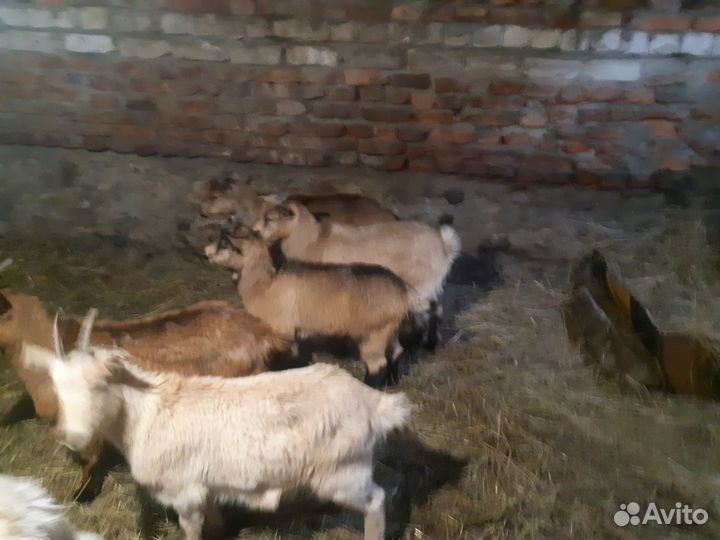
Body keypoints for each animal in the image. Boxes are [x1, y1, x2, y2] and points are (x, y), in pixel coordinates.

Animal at [25, 310, 412, 540]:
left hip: (342, 473)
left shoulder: (184, 492)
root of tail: (374, 403)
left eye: (99, 384)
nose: (73, 438)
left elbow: (192, 530)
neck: (146, 414)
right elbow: (215, 522)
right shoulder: (204, 490)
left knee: (376, 500)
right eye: (57, 387)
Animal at [205, 234, 412, 386]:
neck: (264, 282)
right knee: (396, 351)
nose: (206, 250)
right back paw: (392, 382)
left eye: (224, 244)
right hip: (389, 329)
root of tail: (401, 291)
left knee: (378, 364)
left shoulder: (281, 327)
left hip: (374, 332)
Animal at [252, 202, 461, 351]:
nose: (253, 233)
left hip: (419, 283)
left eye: (270, 219)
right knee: (436, 310)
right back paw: (431, 344)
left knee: (424, 313)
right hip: (431, 285)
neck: (312, 238)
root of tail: (443, 244)